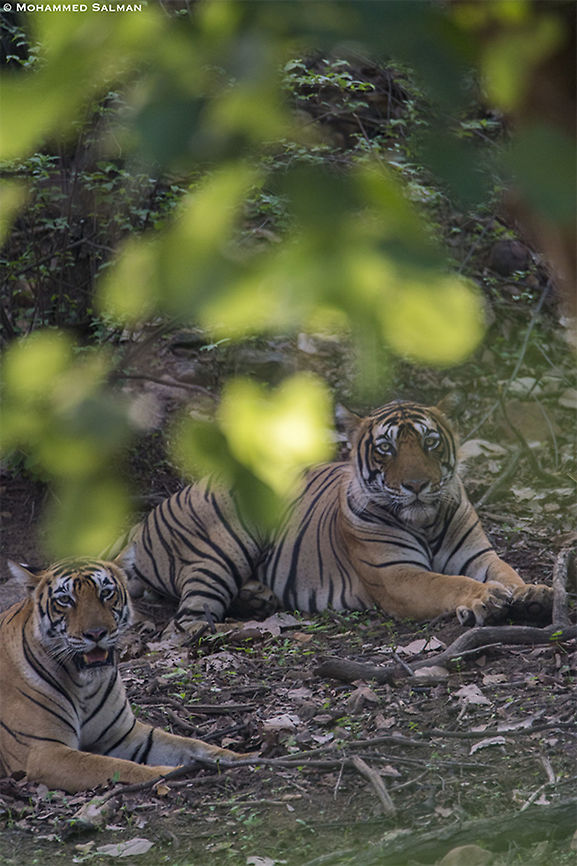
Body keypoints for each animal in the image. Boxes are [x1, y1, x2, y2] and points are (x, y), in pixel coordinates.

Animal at [0, 555, 248, 793]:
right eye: (65, 600)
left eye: (106, 593)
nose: (96, 633)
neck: (84, 685)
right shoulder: (43, 751)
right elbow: (117, 767)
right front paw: (175, 773)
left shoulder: (124, 734)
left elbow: (195, 746)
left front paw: (245, 759)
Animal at [120, 400, 553, 632]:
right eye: (385, 448)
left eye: (430, 442)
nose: (416, 485)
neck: (425, 521)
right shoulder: (396, 575)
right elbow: (447, 583)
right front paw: (484, 599)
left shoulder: (479, 555)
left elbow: (507, 572)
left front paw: (533, 595)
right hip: (219, 548)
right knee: (189, 619)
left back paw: (258, 597)